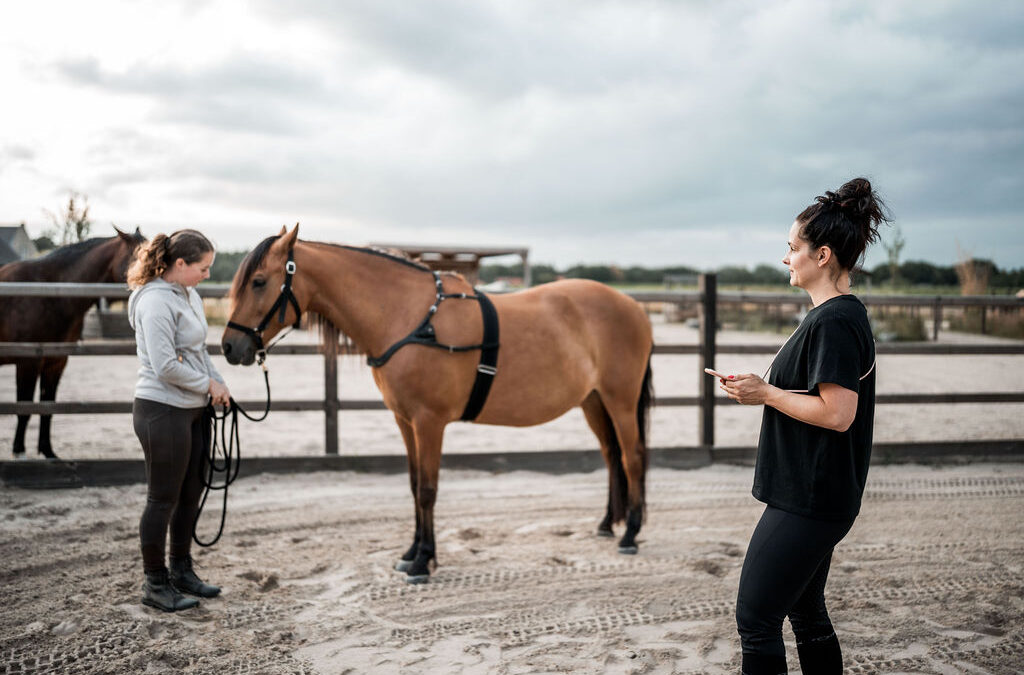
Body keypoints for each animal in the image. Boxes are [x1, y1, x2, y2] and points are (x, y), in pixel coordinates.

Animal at [0, 227, 145, 459]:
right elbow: (24, 409)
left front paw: (48, 452)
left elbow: (47, 409)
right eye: (140, 255)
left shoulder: (56, 362)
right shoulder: (28, 361)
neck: (51, 295)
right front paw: (19, 451)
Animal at [222, 225, 653, 583]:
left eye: (258, 281)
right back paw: (608, 524)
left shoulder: (429, 422)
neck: (410, 317)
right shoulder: (405, 420)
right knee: (611, 454)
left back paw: (630, 534)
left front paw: (422, 562)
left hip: (620, 399)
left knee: (631, 456)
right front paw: (411, 552)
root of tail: (634, 307)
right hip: (593, 401)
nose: (229, 346)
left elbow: (428, 488)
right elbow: (414, 486)